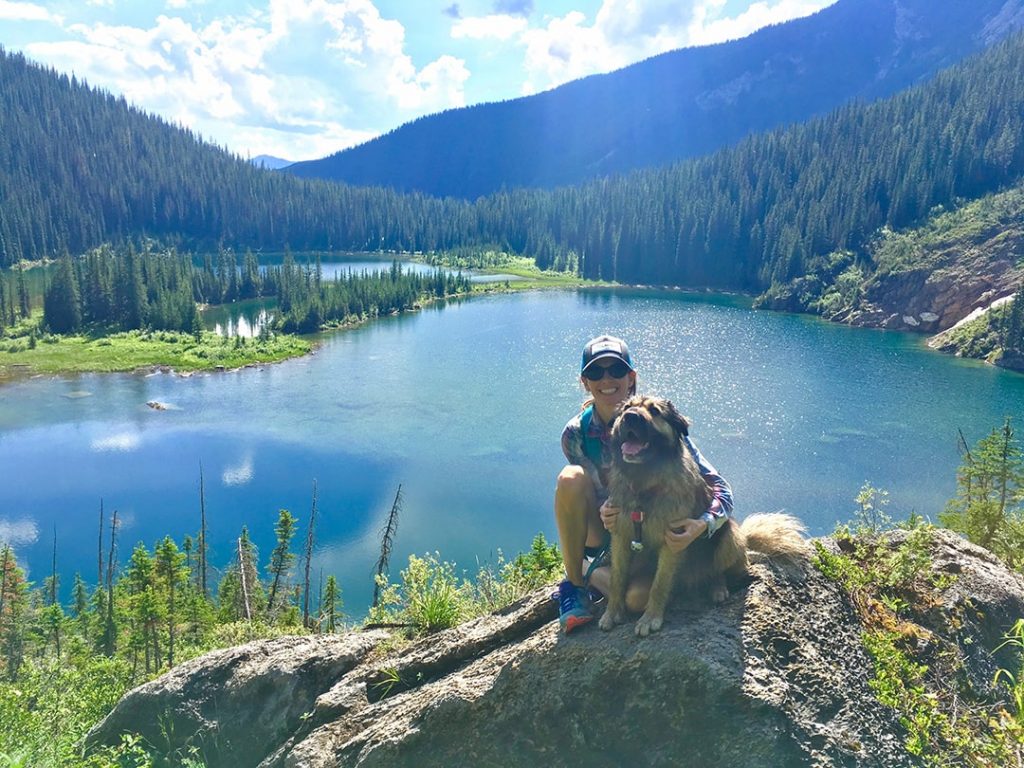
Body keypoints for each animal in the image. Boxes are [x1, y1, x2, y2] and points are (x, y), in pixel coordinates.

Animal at [598, 397, 806, 638]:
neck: (644, 485)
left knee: (720, 570)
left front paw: (650, 618)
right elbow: (617, 579)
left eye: (655, 411)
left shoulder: (674, 541)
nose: (630, 416)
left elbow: (659, 585)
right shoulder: (620, 535)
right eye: (626, 408)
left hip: (730, 535)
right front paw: (612, 613)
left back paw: (718, 588)